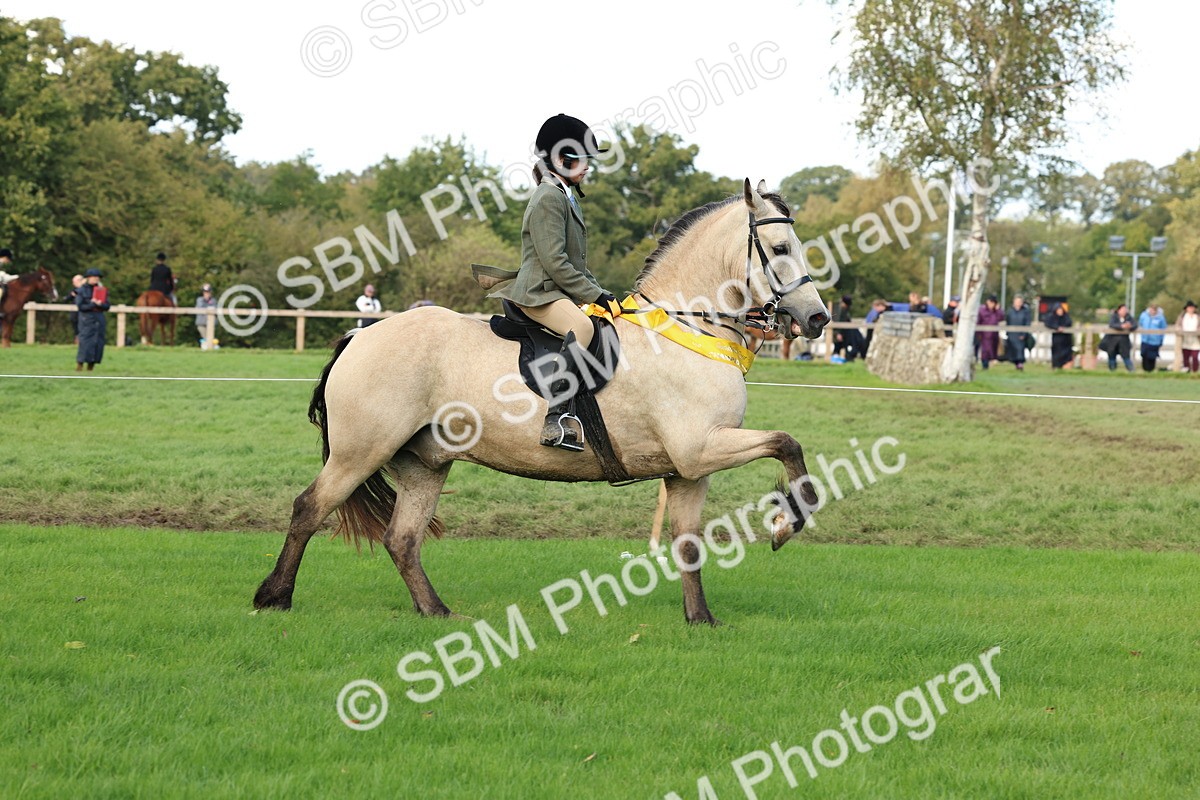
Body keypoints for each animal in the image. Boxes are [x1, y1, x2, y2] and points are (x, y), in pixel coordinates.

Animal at [254, 180, 831, 625]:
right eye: (781, 248)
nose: (818, 319)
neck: (685, 326)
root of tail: (359, 335)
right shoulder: (701, 448)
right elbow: (788, 444)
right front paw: (785, 525)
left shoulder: (688, 469)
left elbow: (687, 542)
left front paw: (701, 620)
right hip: (361, 450)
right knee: (309, 508)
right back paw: (274, 597)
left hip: (424, 462)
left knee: (403, 538)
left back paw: (437, 612)